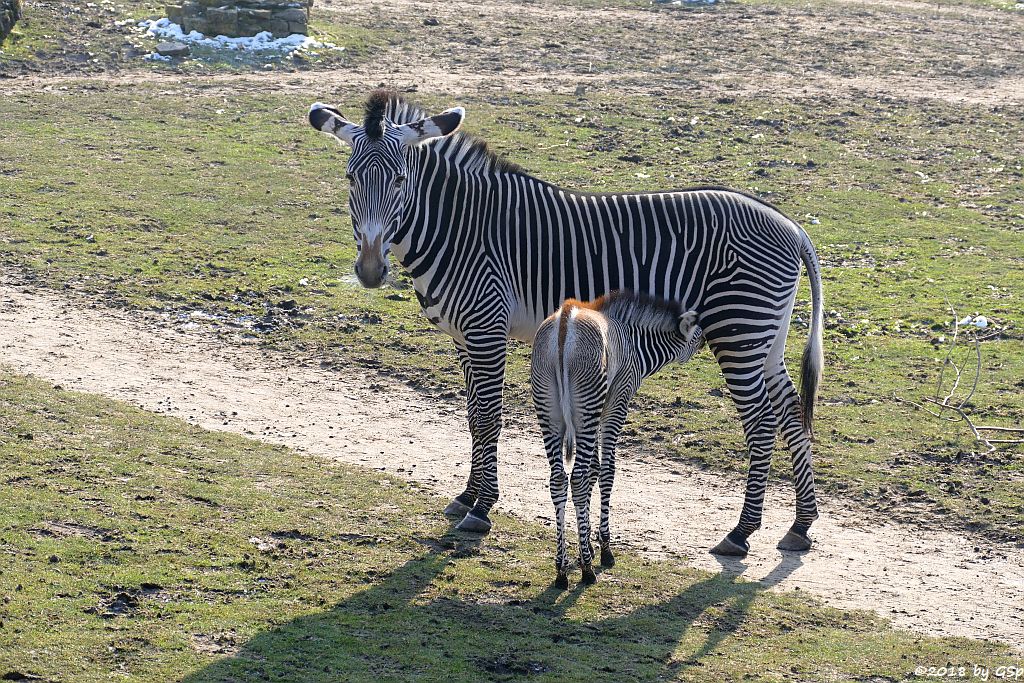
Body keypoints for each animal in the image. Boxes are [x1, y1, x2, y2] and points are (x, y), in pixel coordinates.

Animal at [528, 290, 704, 585]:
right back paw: (588, 571)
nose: (703, 342)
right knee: (577, 478)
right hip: (586, 403)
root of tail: (565, 321)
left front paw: (585, 547)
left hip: (550, 409)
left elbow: (594, 470)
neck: (635, 342)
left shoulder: (596, 413)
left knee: (559, 479)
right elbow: (606, 470)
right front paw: (602, 549)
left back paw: (561, 569)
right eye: (696, 334)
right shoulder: (616, 403)